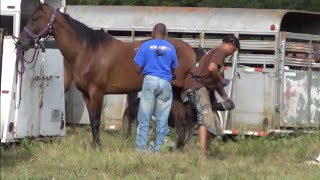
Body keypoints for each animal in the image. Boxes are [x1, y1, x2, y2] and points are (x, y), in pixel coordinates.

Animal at [18, 3, 196, 148]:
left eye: (35, 19)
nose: (20, 42)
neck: (87, 51)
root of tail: (191, 50)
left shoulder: (97, 92)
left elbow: (97, 120)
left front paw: (97, 147)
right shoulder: (86, 94)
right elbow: (92, 120)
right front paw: (94, 144)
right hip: (174, 91)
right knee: (181, 116)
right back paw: (178, 147)